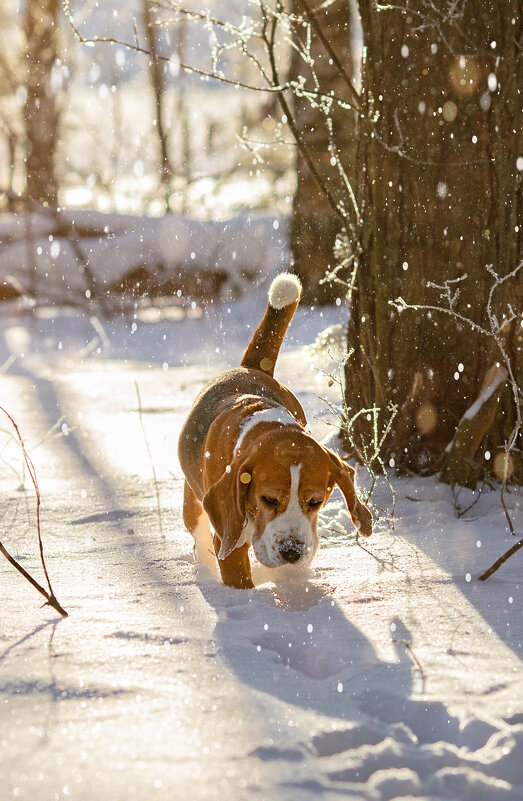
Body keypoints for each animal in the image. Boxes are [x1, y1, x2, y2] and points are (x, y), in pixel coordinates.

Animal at [180, 276, 372, 588]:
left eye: (316, 501)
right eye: (268, 499)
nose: (292, 552)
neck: (268, 427)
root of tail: (250, 367)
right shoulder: (229, 543)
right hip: (194, 506)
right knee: (199, 533)